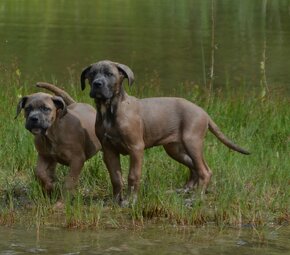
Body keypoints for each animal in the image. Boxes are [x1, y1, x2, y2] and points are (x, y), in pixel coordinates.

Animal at [80, 60, 249, 205]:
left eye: (110, 74)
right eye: (92, 74)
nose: (97, 84)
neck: (110, 110)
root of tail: (204, 113)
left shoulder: (136, 148)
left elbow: (133, 176)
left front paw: (131, 201)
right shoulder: (109, 150)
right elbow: (115, 177)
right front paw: (116, 200)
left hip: (192, 142)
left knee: (205, 171)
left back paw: (196, 198)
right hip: (175, 149)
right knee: (194, 167)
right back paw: (185, 190)